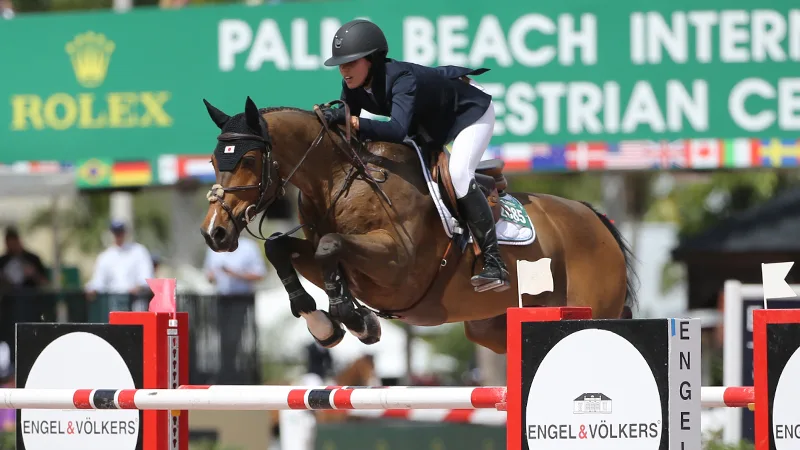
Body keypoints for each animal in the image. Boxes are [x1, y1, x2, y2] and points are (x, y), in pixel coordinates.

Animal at [200, 96, 636, 354]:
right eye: (213, 160)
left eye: (248, 160)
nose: (214, 233)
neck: (339, 179)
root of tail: (596, 219)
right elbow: (279, 246)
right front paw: (326, 325)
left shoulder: (398, 268)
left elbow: (331, 245)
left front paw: (354, 319)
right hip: (492, 327)